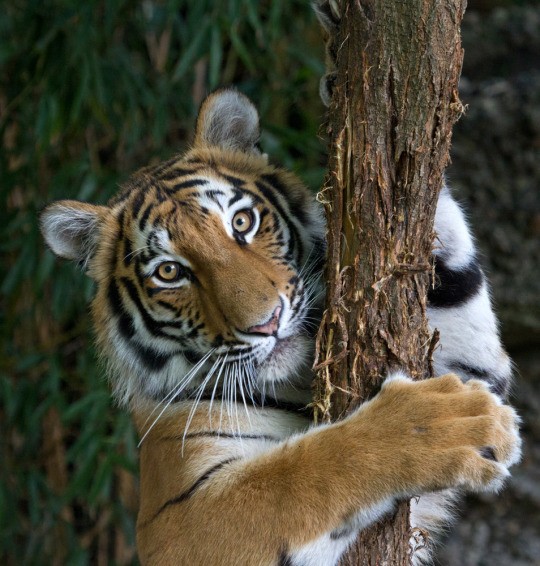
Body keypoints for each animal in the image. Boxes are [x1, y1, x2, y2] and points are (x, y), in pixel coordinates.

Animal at [40, 82, 520, 564]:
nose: (266, 323)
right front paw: (443, 427)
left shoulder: (471, 364)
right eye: (169, 272)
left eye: (242, 221)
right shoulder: (176, 521)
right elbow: (301, 475)